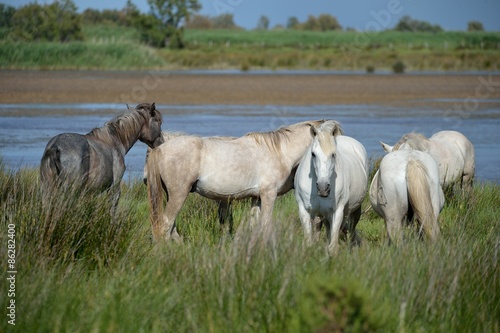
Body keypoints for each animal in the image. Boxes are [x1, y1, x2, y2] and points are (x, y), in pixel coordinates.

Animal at [145, 119, 326, 241]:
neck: (279, 152)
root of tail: (159, 149)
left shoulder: (256, 197)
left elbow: (255, 224)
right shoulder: (269, 194)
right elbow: (266, 224)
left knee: (171, 227)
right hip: (179, 194)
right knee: (165, 224)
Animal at [292, 120, 368, 253]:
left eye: (333, 154)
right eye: (313, 154)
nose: (323, 188)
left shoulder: (337, 211)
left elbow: (333, 246)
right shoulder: (304, 210)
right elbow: (309, 242)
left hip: (354, 210)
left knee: (351, 231)